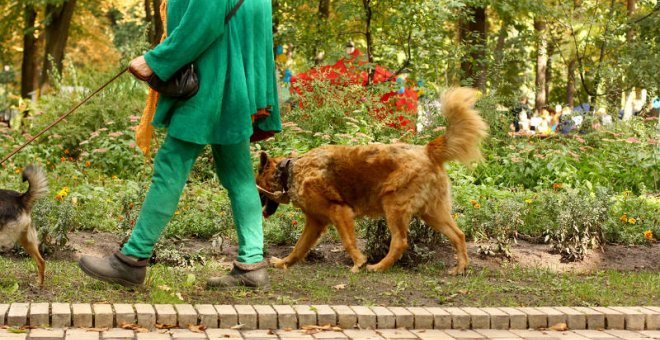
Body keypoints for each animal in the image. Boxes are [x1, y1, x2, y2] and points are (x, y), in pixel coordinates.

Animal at [255, 87, 488, 274]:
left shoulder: (339, 212)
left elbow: (348, 242)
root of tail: (427, 150)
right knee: (458, 235)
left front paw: (359, 263)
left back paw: (379, 267)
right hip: (431, 213)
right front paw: (283, 263)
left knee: (400, 242)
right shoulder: (315, 222)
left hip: (393, 205)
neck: (290, 172)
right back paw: (460, 267)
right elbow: (298, 248)